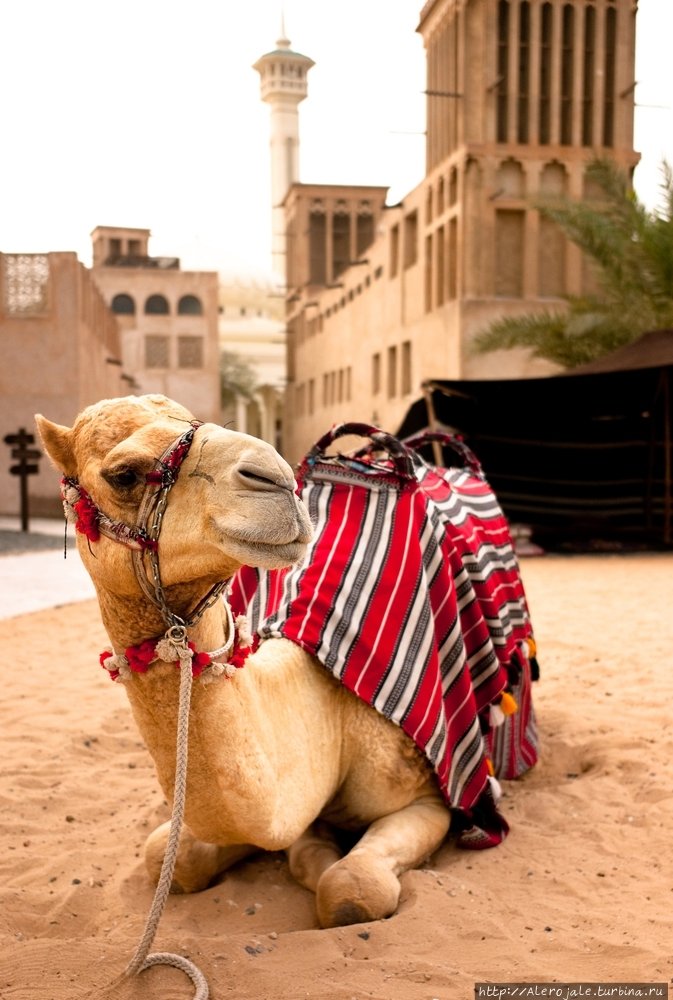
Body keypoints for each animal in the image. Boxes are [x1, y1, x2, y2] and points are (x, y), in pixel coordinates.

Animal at [35, 393, 456, 929]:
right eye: (124, 474)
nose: (276, 477)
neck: (328, 712)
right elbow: (173, 856)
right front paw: (313, 846)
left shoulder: (426, 796)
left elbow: (349, 889)